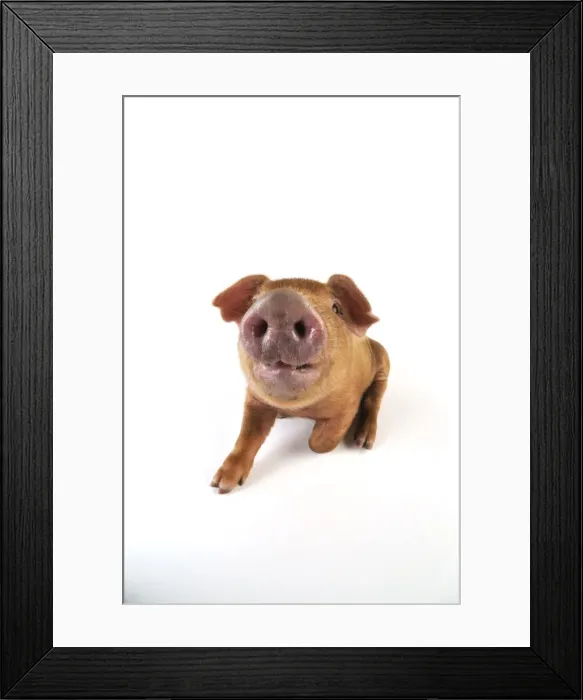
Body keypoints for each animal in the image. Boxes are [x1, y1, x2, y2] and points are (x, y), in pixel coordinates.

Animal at [210, 274, 390, 493]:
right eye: (253, 301)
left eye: (336, 308)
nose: (281, 302)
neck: (301, 408)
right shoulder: (254, 398)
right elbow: (247, 435)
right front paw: (220, 486)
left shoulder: (349, 403)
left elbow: (318, 443)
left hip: (383, 360)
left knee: (375, 397)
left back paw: (363, 442)